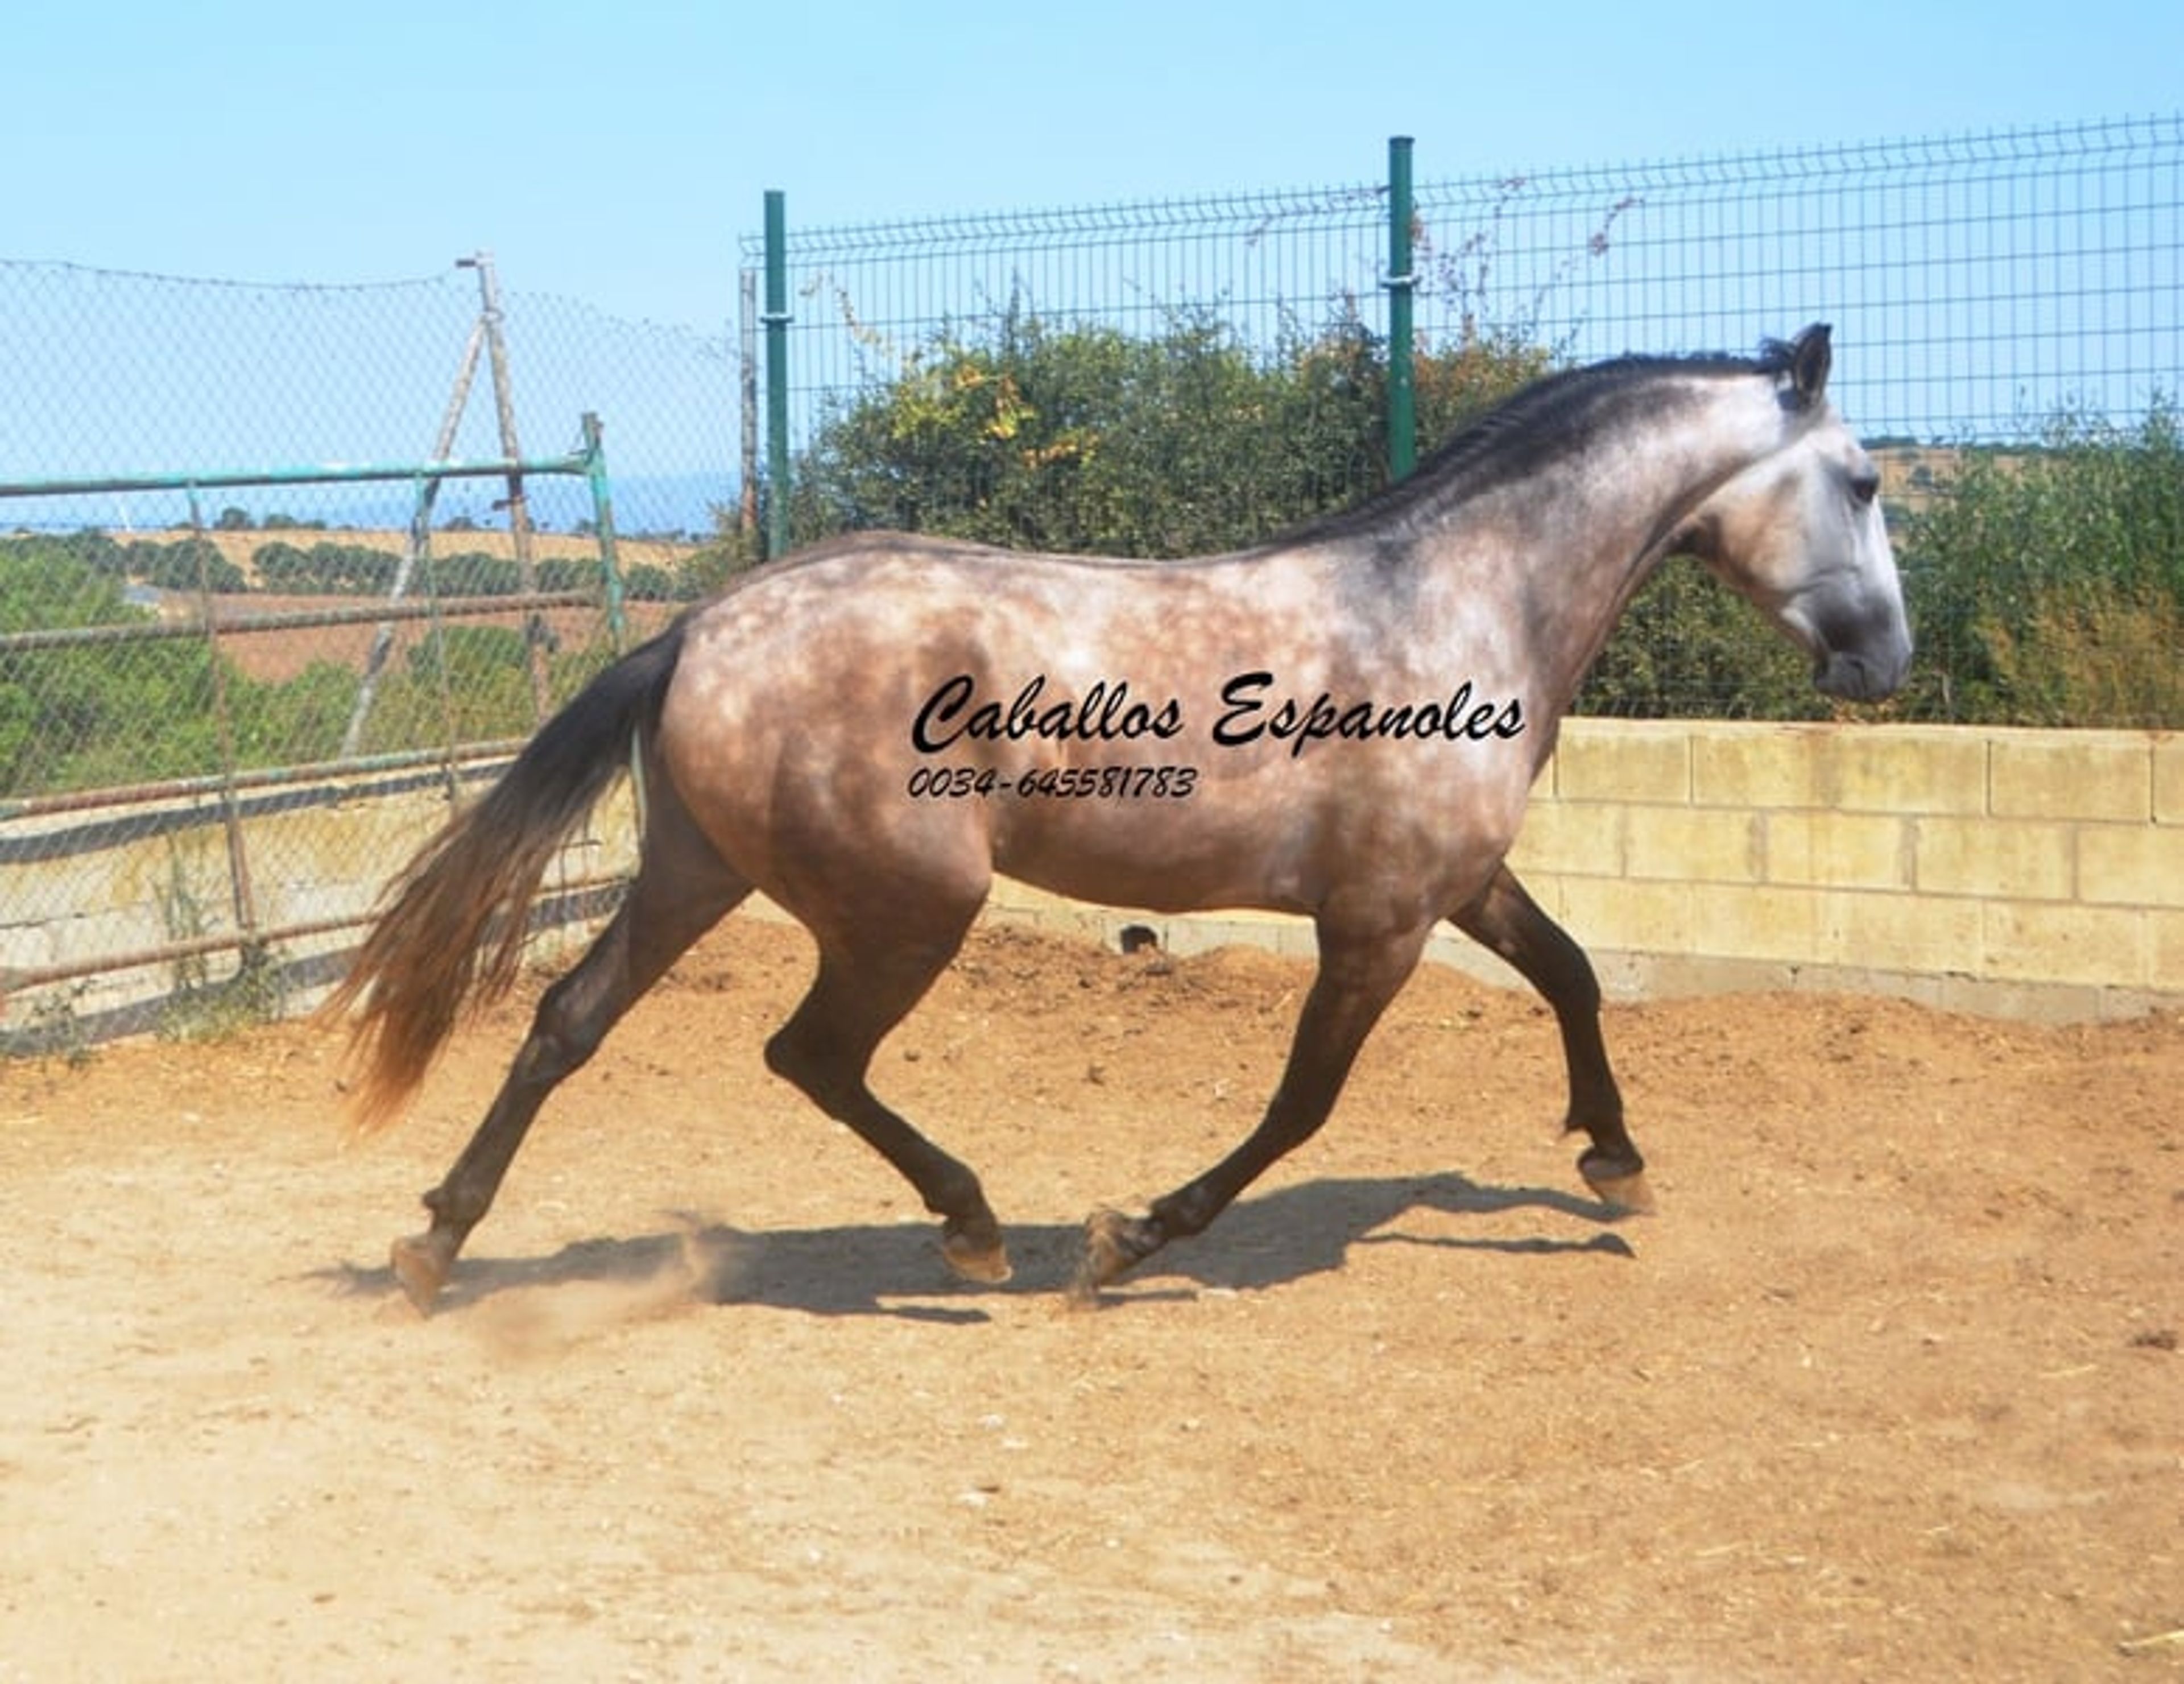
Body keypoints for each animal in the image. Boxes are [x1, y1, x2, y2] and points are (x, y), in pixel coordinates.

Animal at [325, 322, 1910, 1313]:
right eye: (1864, 478)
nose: (1885, 660)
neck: (1455, 598)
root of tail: (699, 628)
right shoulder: (1380, 924)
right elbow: (1300, 1103)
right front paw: (1127, 1240)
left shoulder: (1452, 887)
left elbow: (1573, 975)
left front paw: (1613, 1164)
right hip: (906, 907)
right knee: (808, 1053)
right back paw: (973, 1236)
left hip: (695, 872)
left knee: (567, 1022)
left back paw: (433, 1245)